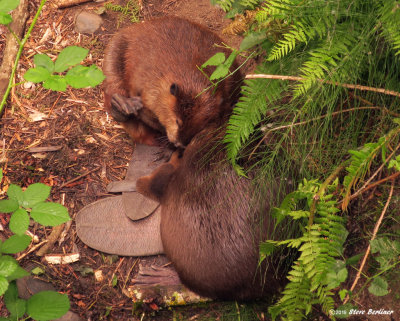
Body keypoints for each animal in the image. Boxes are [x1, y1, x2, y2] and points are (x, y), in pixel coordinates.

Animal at [103, 16, 241, 147]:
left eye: (200, 126)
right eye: (177, 122)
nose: (179, 143)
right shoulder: (145, 81)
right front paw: (133, 106)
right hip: (116, 47)